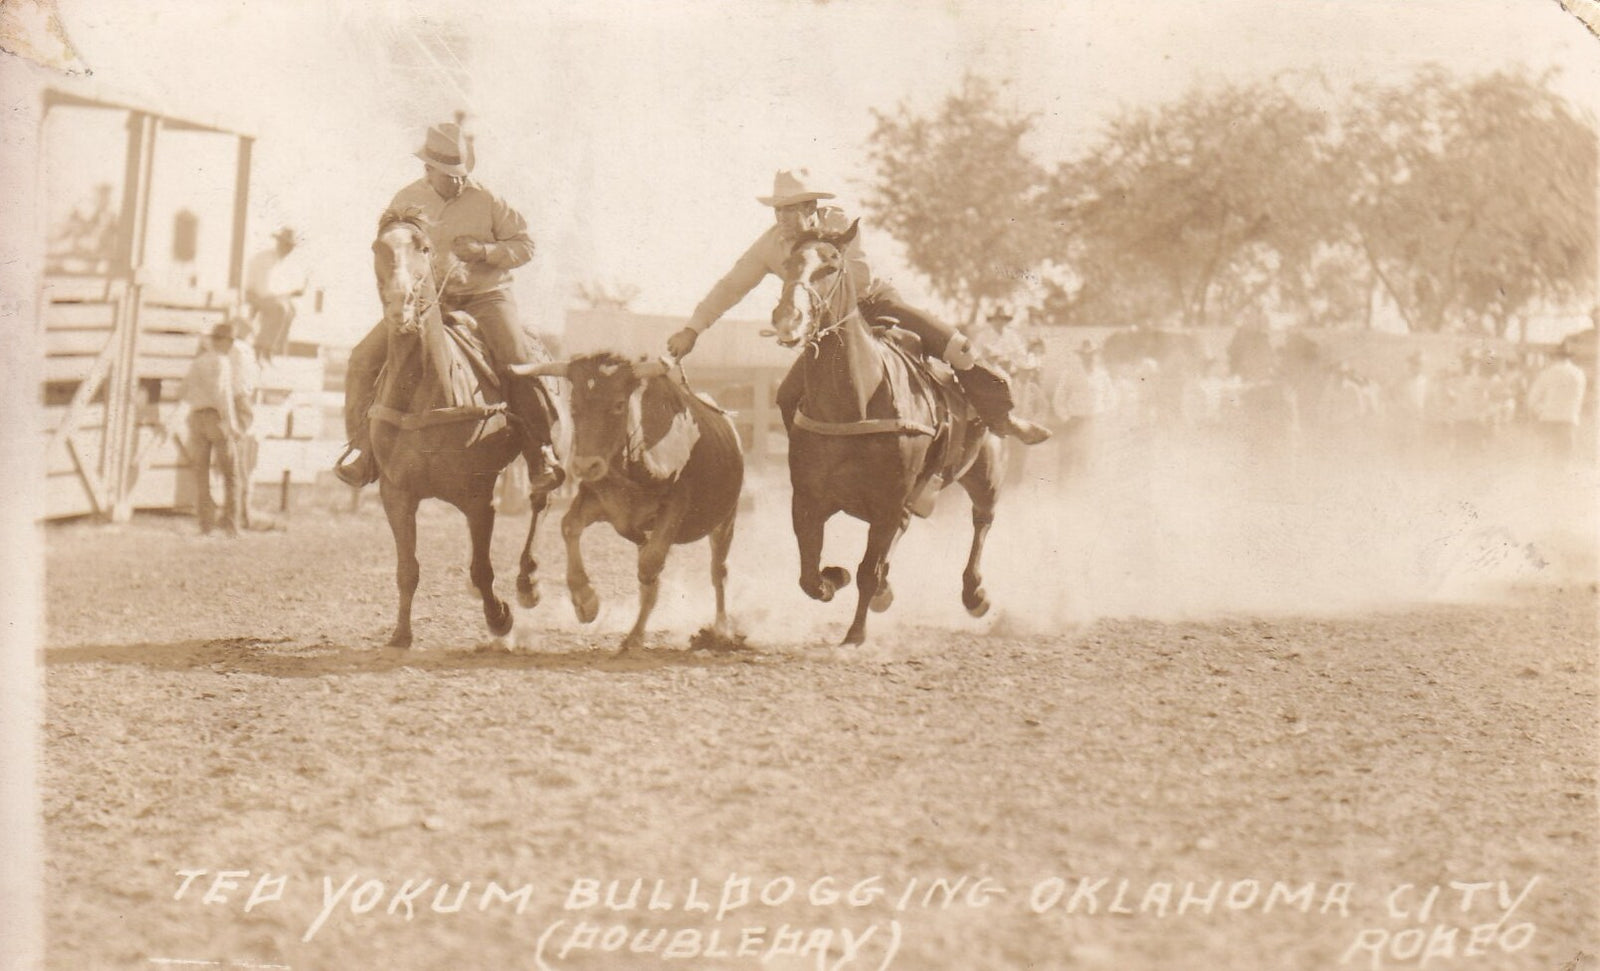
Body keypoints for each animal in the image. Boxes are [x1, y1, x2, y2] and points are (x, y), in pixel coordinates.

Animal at [366, 209, 560, 649]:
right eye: (377, 248)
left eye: (423, 247)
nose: (400, 305)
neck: (431, 390)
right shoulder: (396, 494)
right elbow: (408, 569)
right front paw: (401, 634)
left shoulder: (477, 497)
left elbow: (481, 568)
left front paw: (500, 617)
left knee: (542, 500)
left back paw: (528, 583)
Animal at [768, 223, 992, 643]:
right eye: (788, 262)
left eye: (831, 264)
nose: (789, 318)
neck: (855, 404)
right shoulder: (807, 500)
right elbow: (809, 575)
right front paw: (833, 577)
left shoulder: (888, 504)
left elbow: (866, 573)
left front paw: (855, 635)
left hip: (985, 473)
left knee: (982, 520)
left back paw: (974, 593)